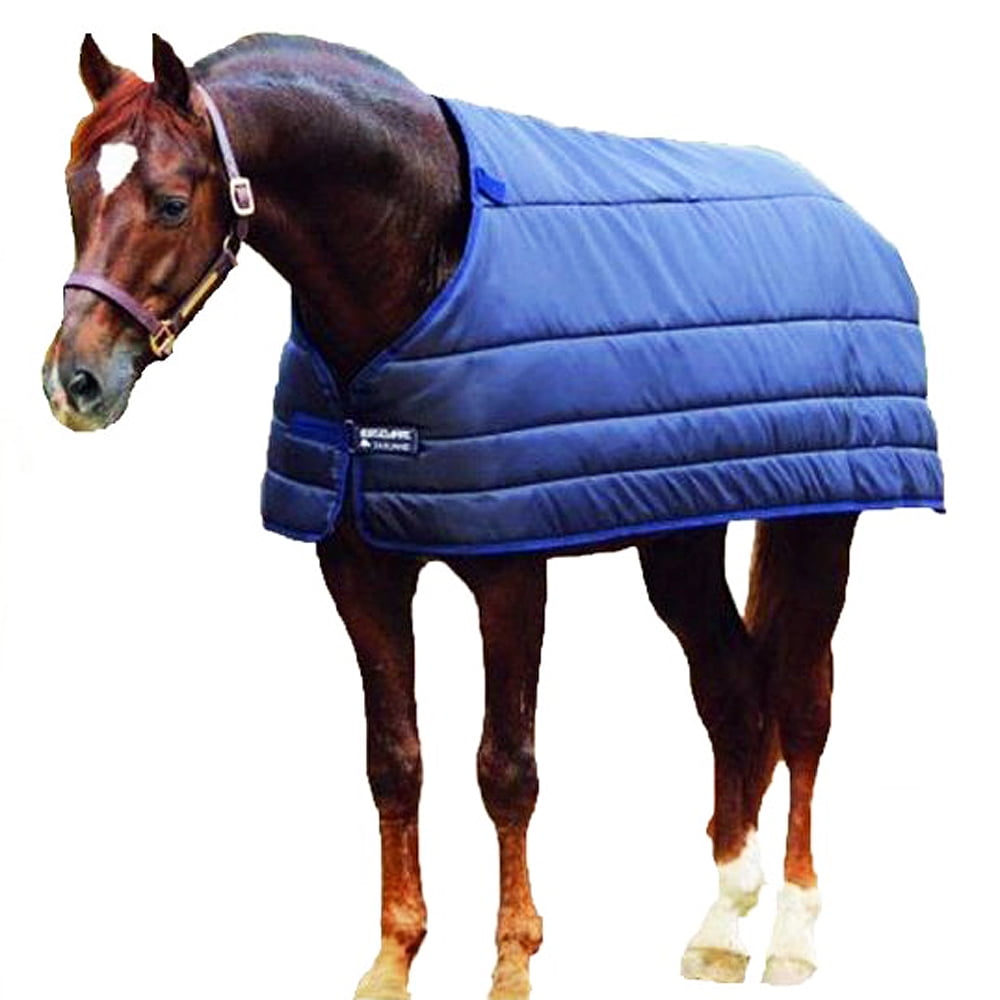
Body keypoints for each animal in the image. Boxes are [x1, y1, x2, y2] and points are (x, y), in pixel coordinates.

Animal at [42, 33, 942, 998]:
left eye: (172, 203)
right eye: (74, 189)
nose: (74, 383)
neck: (418, 267)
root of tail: (848, 217)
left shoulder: (511, 568)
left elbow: (506, 769)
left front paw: (512, 961)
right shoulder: (360, 567)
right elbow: (394, 762)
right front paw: (393, 959)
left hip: (823, 520)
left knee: (803, 706)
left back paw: (793, 935)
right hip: (683, 536)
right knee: (732, 693)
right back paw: (721, 924)